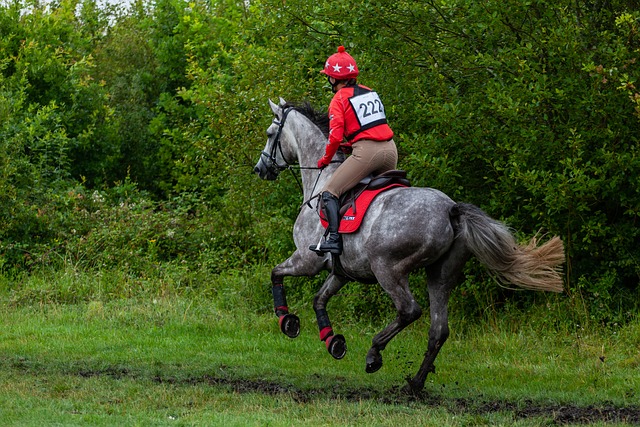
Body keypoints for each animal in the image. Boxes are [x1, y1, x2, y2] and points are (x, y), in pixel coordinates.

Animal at [252, 98, 564, 394]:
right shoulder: (342, 272)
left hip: (387, 268)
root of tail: (450, 209)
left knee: (409, 310)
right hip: (440, 273)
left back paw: (374, 353)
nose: (260, 168)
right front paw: (333, 341)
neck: (323, 180)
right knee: (439, 329)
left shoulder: (308, 261)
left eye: (269, 134)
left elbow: (275, 273)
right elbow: (319, 299)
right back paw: (415, 383)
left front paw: (287, 321)